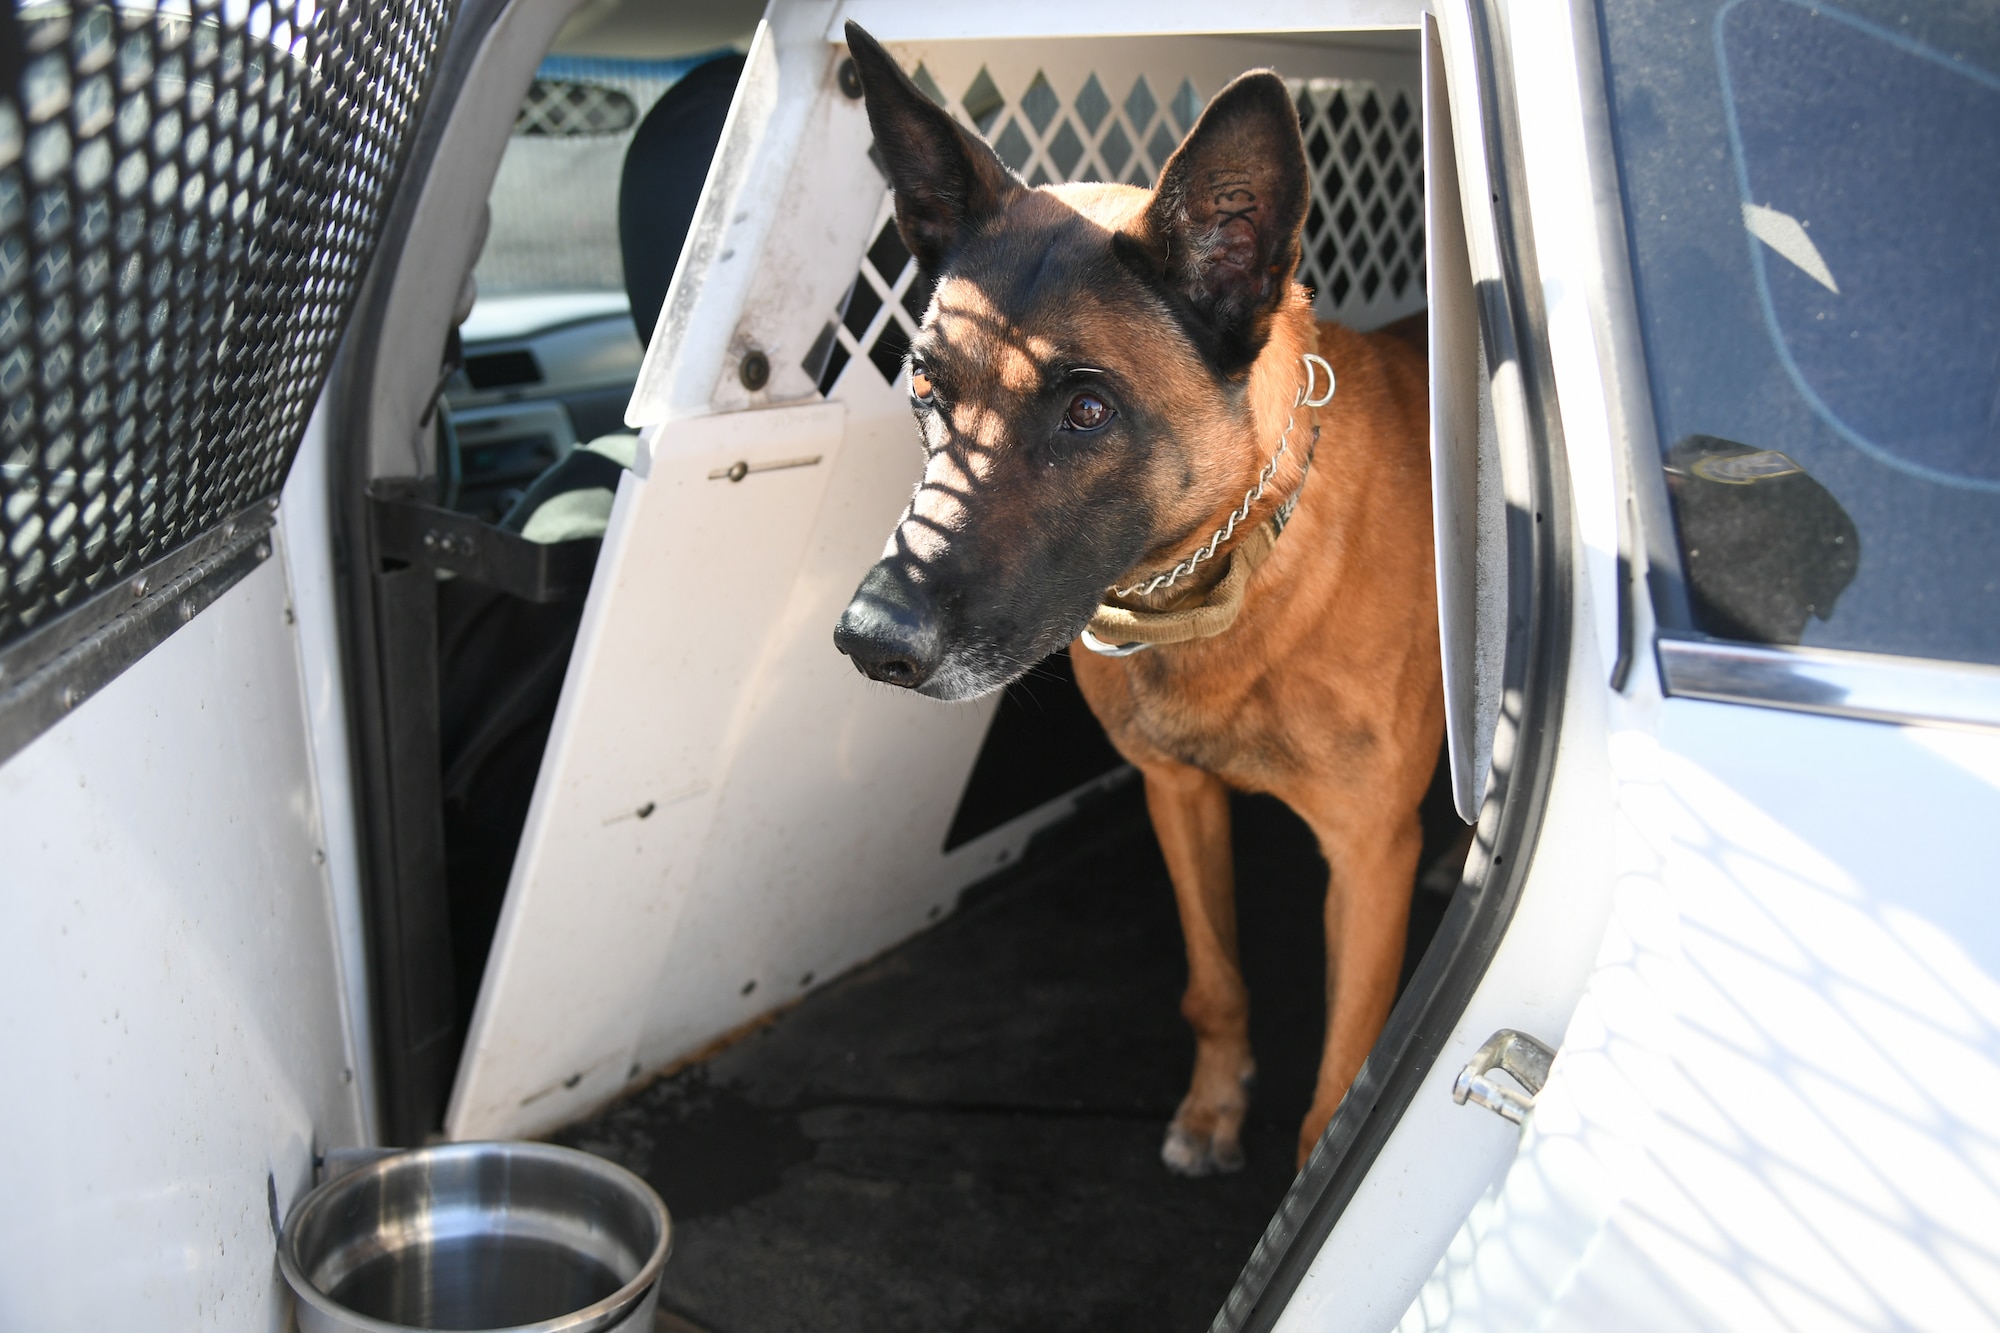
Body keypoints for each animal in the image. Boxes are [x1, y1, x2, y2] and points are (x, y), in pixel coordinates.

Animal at [828, 18, 1440, 1160]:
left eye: (1086, 411)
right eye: (925, 385)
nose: (866, 640)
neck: (1228, 574)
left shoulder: (1365, 860)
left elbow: (1337, 1085)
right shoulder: (1177, 797)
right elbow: (1214, 981)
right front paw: (1214, 1101)